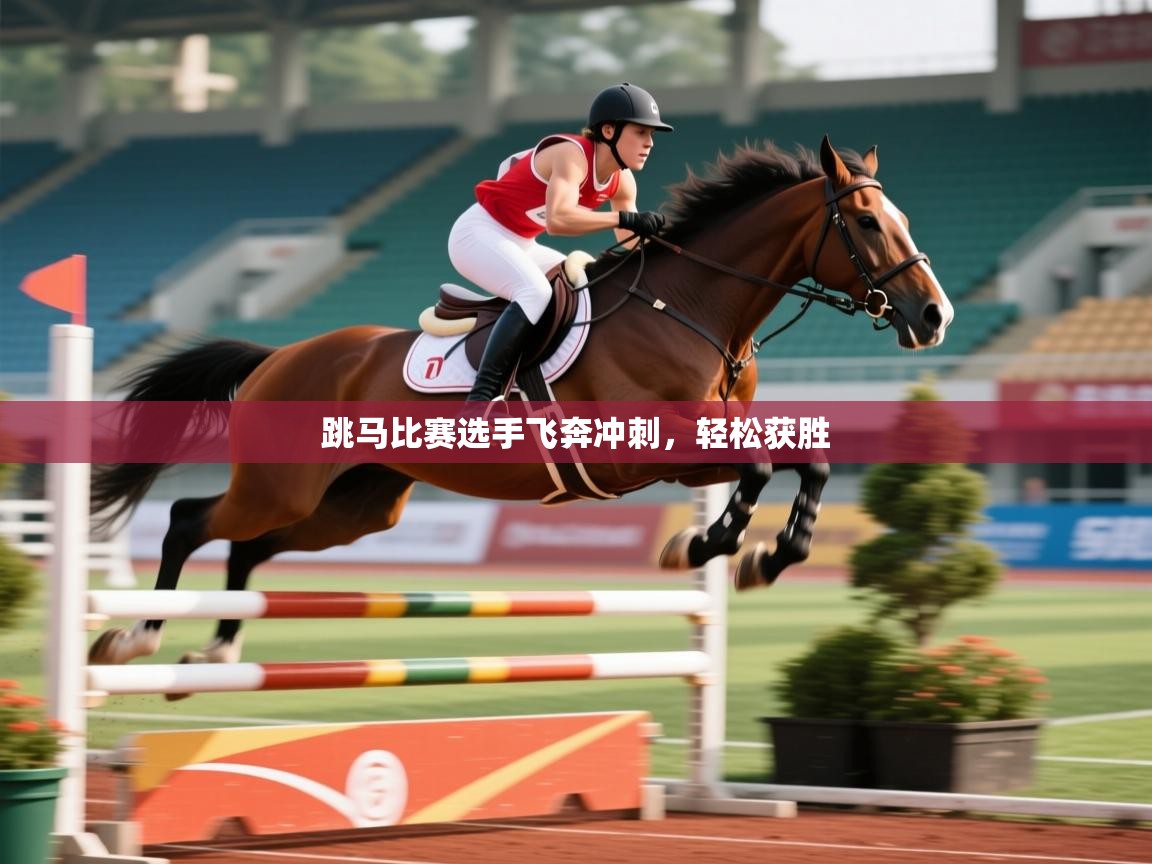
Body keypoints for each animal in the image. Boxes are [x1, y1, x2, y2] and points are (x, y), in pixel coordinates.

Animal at [88, 136, 953, 671]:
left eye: (903, 218)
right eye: (866, 222)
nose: (934, 316)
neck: (694, 305)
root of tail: (280, 355)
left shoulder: (703, 443)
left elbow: (806, 461)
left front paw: (762, 555)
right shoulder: (648, 451)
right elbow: (765, 466)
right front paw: (706, 547)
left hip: (354, 505)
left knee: (249, 549)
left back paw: (219, 649)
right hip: (283, 483)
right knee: (191, 521)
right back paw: (133, 640)